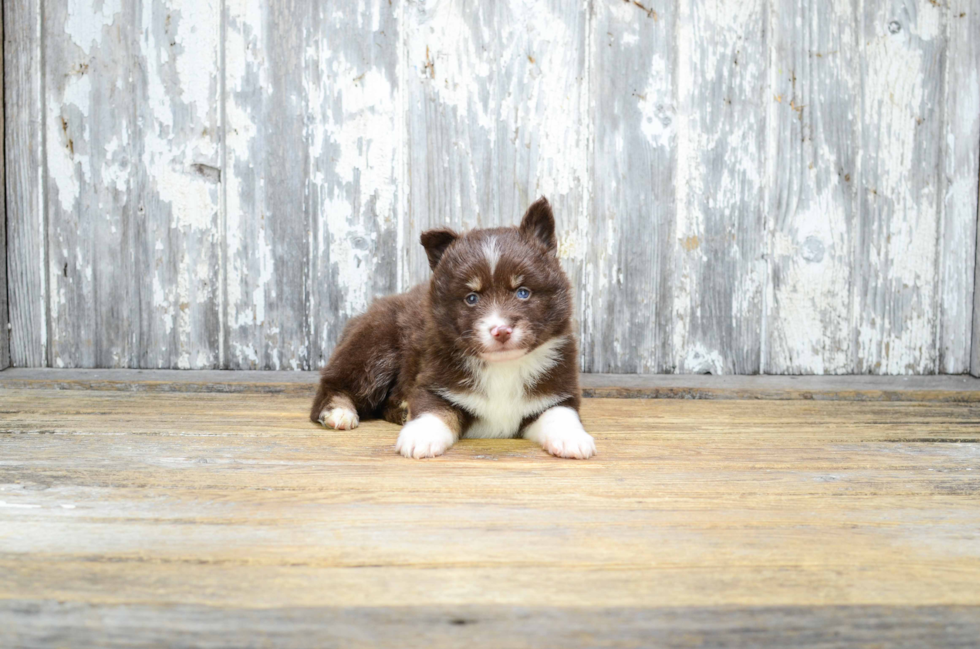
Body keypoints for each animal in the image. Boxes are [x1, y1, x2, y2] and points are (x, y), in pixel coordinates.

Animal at [310, 195, 592, 458]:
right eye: (471, 298)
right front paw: (420, 437)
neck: (502, 367)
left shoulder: (558, 391)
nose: (501, 331)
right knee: (333, 384)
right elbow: (434, 411)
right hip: (375, 347)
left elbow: (561, 414)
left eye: (523, 292)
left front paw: (572, 439)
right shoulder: (434, 383)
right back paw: (340, 412)